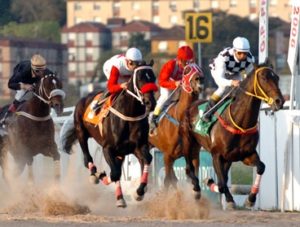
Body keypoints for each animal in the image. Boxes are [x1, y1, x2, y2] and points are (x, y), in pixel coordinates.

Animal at [60, 60, 157, 207]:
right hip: (81, 132)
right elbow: (114, 174)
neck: (129, 114)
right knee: (87, 158)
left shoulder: (138, 147)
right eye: (140, 78)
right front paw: (103, 177)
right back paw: (94, 174)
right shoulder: (107, 148)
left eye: (153, 77)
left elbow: (147, 159)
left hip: (121, 153)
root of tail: (84, 98)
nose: (151, 103)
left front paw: (139, 192)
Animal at [148, 63, 203, 197]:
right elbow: (167, 180)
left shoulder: (194, 154)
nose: (200, 78)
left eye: (198, 67)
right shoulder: (167, 156)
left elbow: (192, 176)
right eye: (187, 70)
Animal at [179, 63, 284, 208]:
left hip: (213, 153)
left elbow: (261, 167)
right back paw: (196, 189)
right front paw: (228, 199)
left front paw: (250, 199)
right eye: (264, 78)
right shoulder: (216, 155)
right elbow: (222, 184)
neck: (239, 123)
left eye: (277, 78)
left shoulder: (246, 154)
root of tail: (191, 105)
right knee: (189, 168)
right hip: (188, 142)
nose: (280, 101)